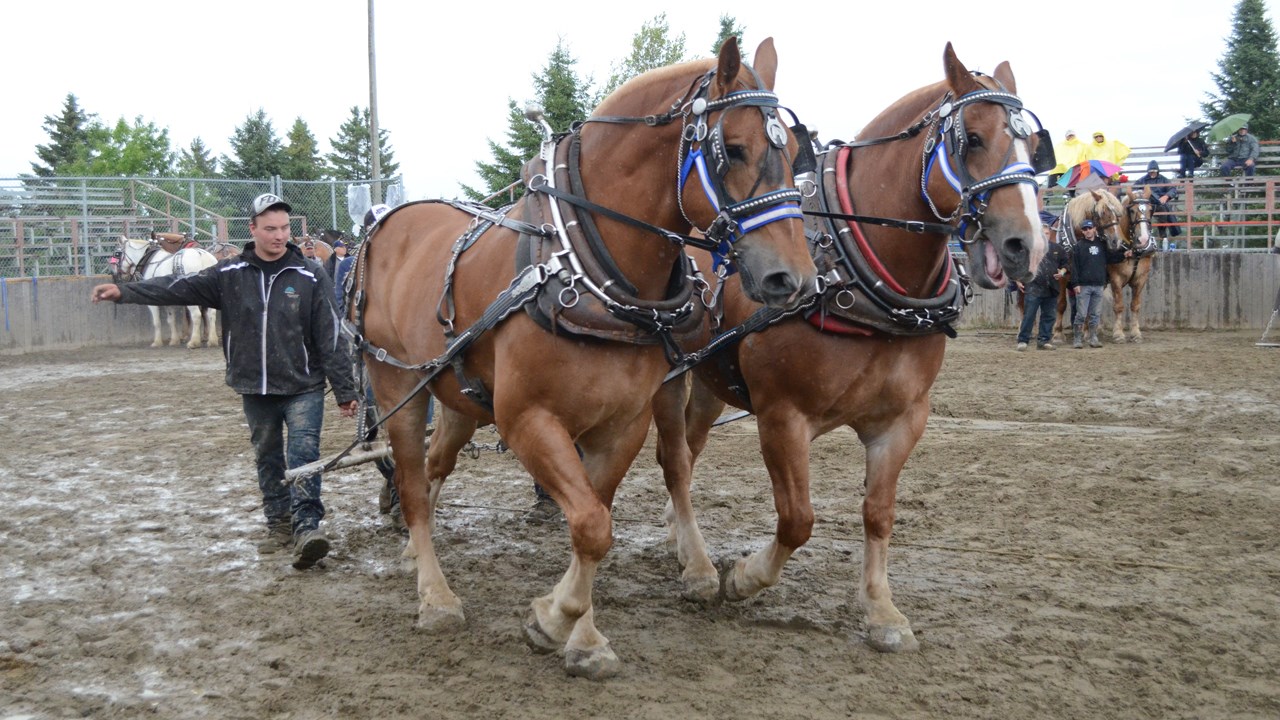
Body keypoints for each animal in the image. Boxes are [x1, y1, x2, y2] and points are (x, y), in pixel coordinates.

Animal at [349, 37, 816, 679]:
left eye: (794, 151)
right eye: (735, 148)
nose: (792, 278)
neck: (584, 266)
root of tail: (383, 221)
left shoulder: (621, 424)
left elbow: (595, 521)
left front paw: (580, 635)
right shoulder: (527, 421)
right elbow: (593, 525)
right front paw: (553, 621)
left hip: (458, 398)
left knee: (434, 465)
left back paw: (407, 554)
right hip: (396, 388)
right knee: (413, 482)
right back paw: (435, 595)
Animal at [650, 42, 1047, 654]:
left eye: (1032, 143)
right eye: (975, 139)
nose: (1027, 243)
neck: (857, 275)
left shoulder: (902, 421)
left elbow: (878, 513)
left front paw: (882, 612)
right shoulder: (782, 416)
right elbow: (798, 519)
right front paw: (745, 578)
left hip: (712, 382)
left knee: (690, 456)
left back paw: (679, 535)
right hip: (670, 379)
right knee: (673, 459)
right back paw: (697, 566)